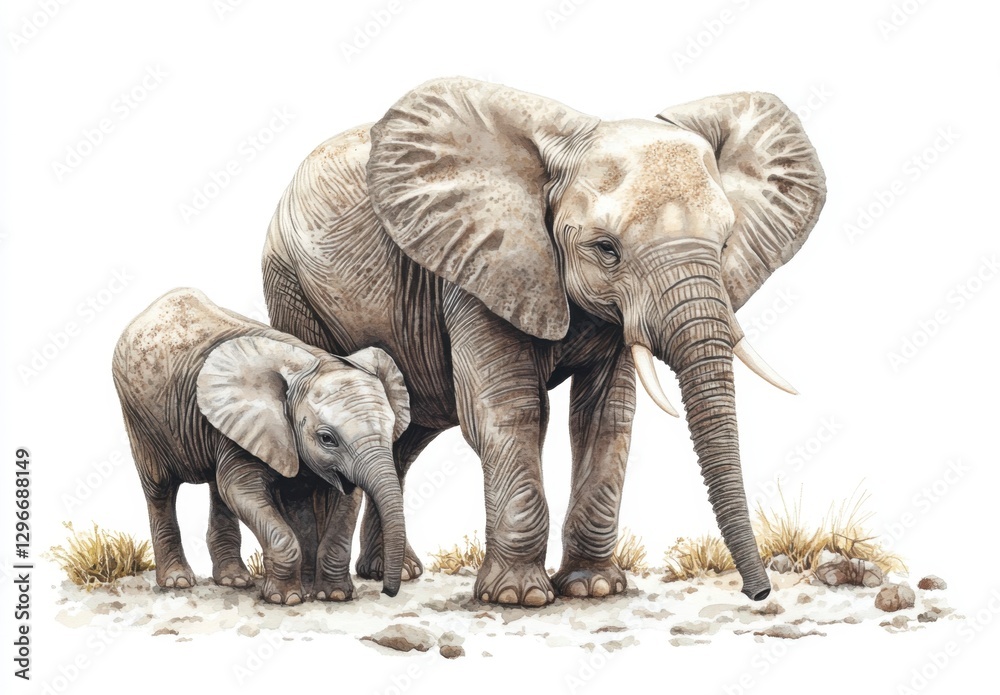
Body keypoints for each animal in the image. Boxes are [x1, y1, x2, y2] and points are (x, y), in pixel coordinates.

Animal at [112, 287, 411, 603]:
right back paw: (177, 581)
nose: (387, 591)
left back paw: (234, 580)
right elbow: (242, 491)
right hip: (138, 417)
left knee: (218, 490)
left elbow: (343, 500)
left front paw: (333, 596)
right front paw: (286, 599)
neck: (311, 362)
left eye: (390, 427)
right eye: (327, 438)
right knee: (160, 487)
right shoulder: (254, 425)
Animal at [260, 77, 826, 606]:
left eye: (726, 243)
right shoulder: (477, 265)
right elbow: (508, 411)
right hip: (289, 282)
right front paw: (518, 597)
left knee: (405, 436)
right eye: (606, 249)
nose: (759, 593)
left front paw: (594, 588)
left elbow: (606, 417)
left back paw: (392, 573)